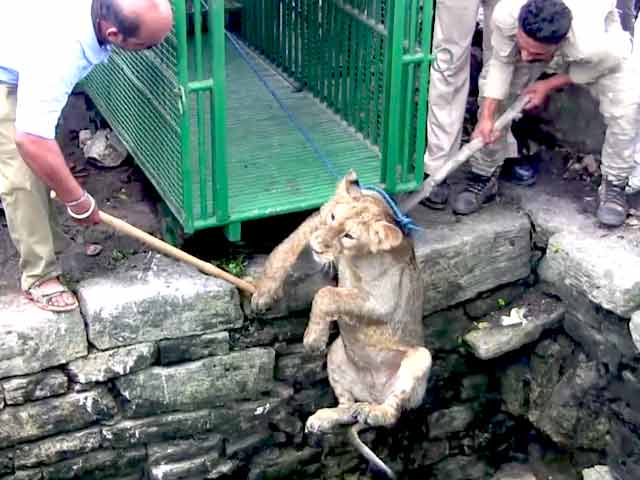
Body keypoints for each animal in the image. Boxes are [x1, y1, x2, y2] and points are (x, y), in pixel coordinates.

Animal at [251, 171, 431, 473]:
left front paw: (313, 339)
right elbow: (283, 250)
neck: (354, 260)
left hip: (421, 360)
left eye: (349, 236)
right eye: (334, 217)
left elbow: (327, 294)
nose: (317, 246)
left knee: (393, 412)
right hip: (336, 352)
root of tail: (373, 394)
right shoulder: (315, 220)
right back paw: (323, 418)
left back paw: (373, 413)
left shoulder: (381, 300)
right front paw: (265, 292)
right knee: (347, 408)